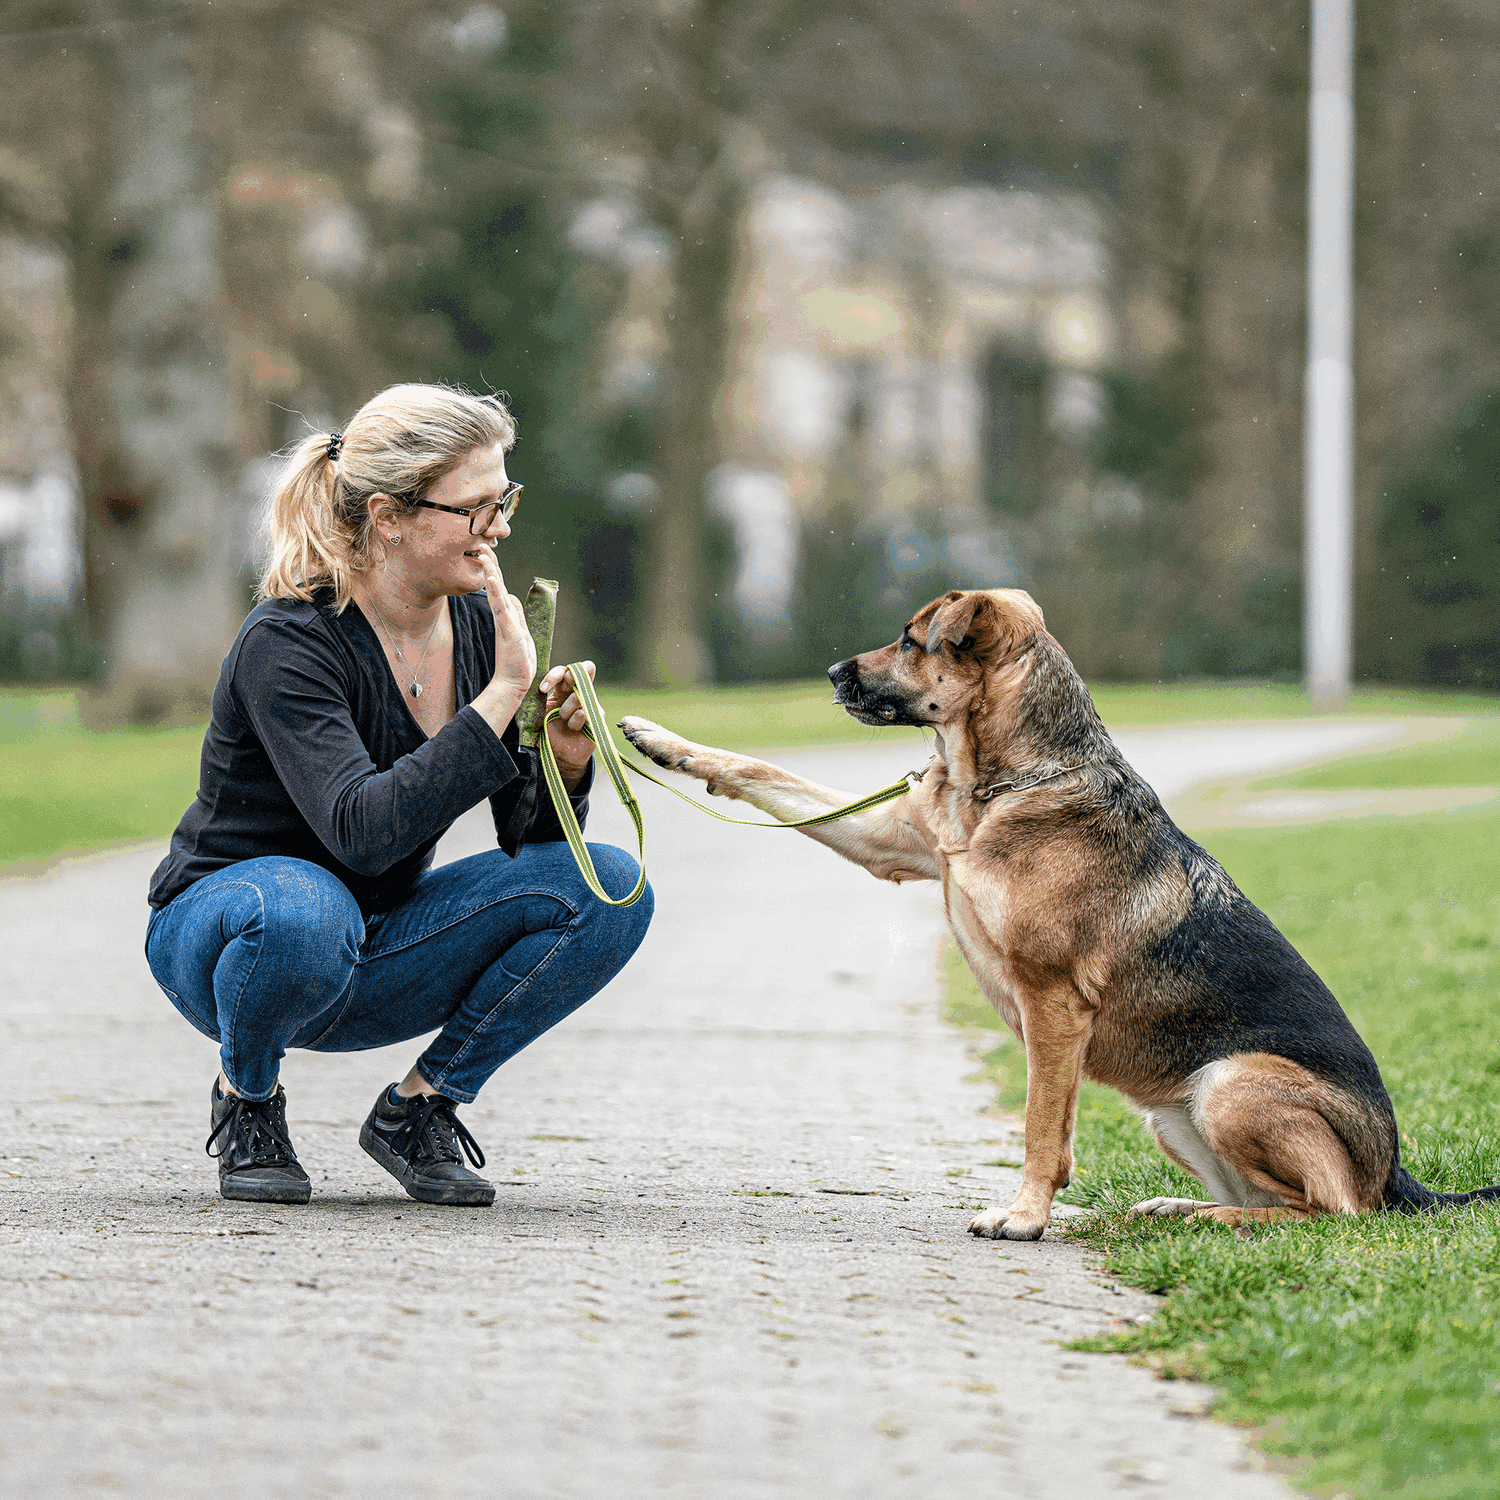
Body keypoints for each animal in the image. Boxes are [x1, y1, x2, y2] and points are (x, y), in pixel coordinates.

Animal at [621, 585, 1500, 1242]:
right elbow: (761, 771)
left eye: (910, 641)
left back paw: (1206, 1217)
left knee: (1332, 1212)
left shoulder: (1052, 1004)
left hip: (1230, 1081)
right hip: (1177, 1115)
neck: (1003, 782)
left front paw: (1023, 1218)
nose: (833, 672)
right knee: (1282, 1202)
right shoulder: (888, 843)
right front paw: (655, 737)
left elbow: (1043, 1130)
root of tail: (1396, 1172)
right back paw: (1180, 1209)